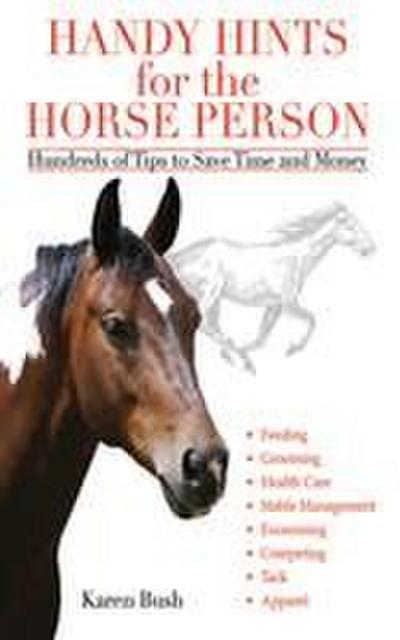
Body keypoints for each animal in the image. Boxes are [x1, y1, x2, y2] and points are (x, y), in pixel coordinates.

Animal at [168, 202, 376, 372]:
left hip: (214, 298)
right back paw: (240, 358)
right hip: (210, 291)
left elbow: (262, 336)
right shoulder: (288, 302)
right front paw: (293, 348)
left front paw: (240, 352)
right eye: (350, 226)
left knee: (208, 324)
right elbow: (312, 319)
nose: (370, 248)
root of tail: (180, 258)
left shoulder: (274, 305)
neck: (296, 259)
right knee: (203, 323)